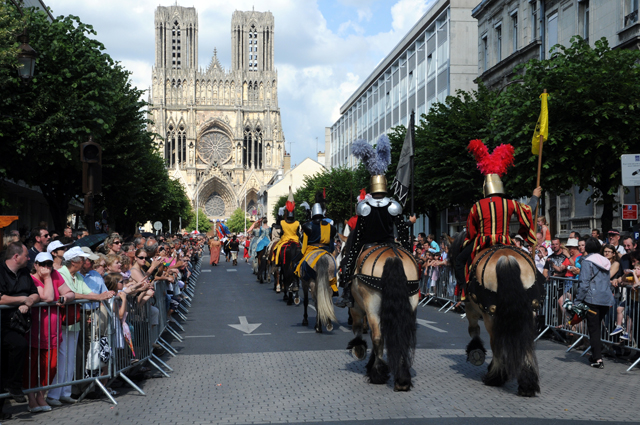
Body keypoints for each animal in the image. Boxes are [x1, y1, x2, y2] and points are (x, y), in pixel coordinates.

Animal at [344, 242, 420, 390]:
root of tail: (393, 257)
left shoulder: (356, 308)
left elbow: (358, 328)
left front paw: (359, 349)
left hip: (371, 306)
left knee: (377, 337)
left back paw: (377, 374)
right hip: (410, 304)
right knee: (402, 337)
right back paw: (402, 379)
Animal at [450, 230, 540, 396]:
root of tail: (506, 258)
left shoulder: (471, 307)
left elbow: (473, 329)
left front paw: (476, 349)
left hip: (490, 316)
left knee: (496, 341)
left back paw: (495, 377)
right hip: (529, 312)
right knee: (526, 342)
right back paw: (527, 383)